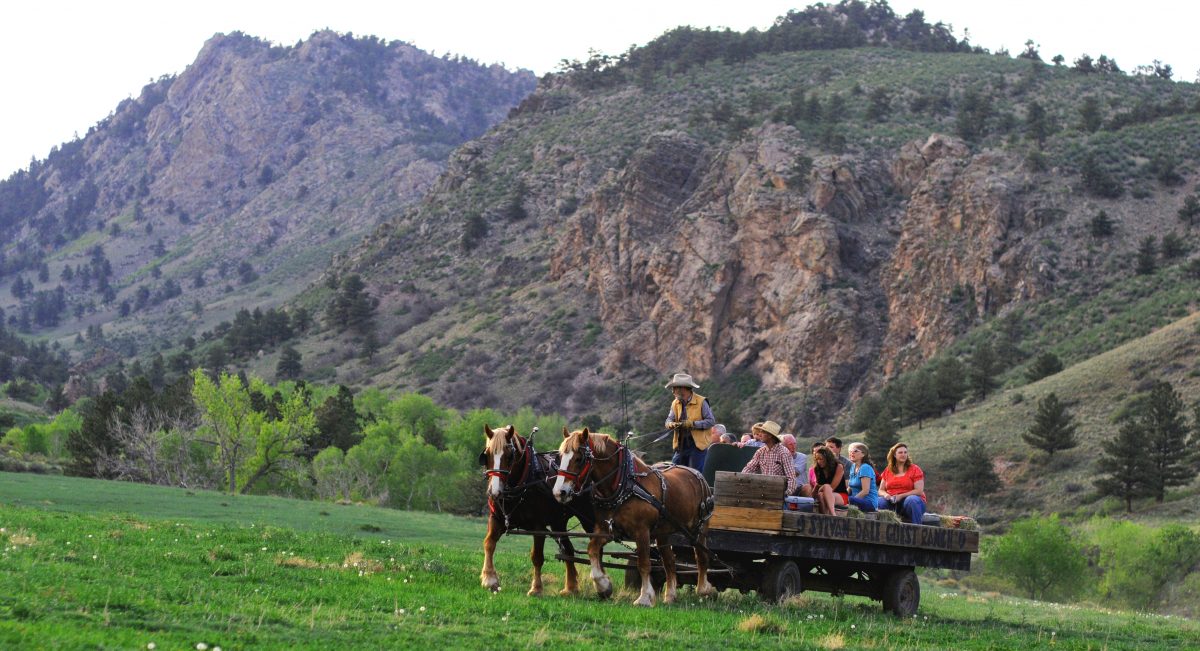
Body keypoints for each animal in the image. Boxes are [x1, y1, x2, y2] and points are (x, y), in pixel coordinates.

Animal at [475, 425, 592, 600]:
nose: (494, 492)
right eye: (487, 455)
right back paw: (571, 587)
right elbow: (489, 544)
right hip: (559, 522)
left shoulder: (539, 526)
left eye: (509, 456)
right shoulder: (496, 519)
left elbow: (537, 557)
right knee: (568, 550)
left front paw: (536, 588)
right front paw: (489, 579)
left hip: (589, 519)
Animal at [549, 427, 710, 607]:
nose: (559, 492)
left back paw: (704, 590)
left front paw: (645, 597)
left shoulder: (642, 532)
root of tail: (697, 474)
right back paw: (670, 595)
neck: (623, 484)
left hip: (699, 529)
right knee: (669, 561)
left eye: (579, 458)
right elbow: (592, 549)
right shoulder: (606, 528)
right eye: (560, 457)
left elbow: (644, 564)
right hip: (663, 533)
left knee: (701, 557)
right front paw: (603, 585)